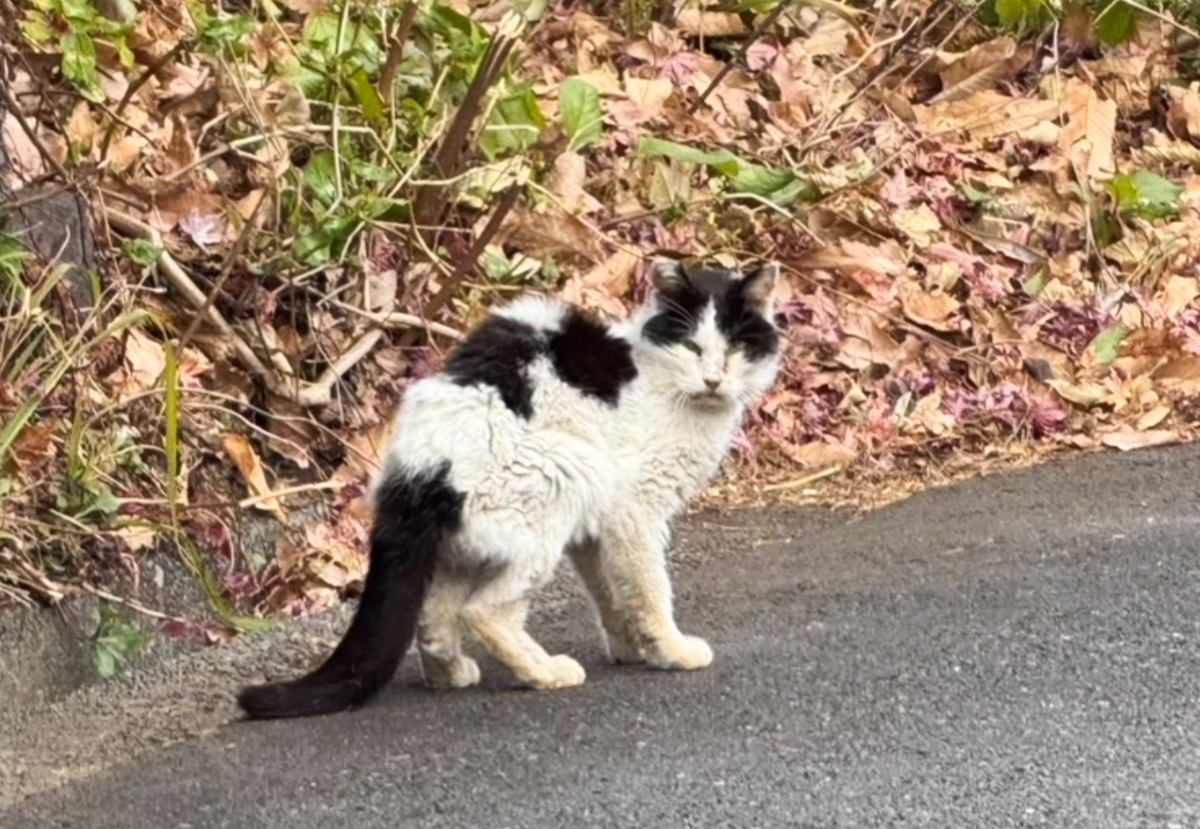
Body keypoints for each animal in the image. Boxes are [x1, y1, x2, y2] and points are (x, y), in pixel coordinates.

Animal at [237, 259, 782, 719]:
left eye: (736, 349)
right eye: (692, 347)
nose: (714, 379)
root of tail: (418, 466)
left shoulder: (597, 529)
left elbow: (612, 592)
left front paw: (632, 648)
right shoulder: (635, 513)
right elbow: (649, 590)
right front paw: (670, 649)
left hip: (467, 543)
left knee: (434, 617)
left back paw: (453, 674)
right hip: (565, 477)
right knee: (485, 613)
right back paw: (548, 672)